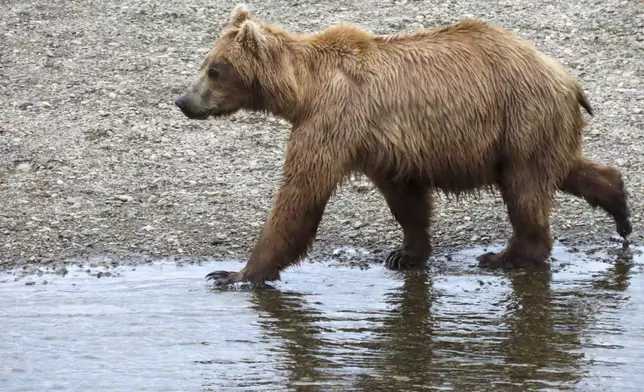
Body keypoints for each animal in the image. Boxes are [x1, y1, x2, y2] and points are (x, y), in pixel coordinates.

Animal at [176, 2, 632, 284]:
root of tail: (567, 77)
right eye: (204, 63)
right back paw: (620, 207)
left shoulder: (332, 119)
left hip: (521, 117)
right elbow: (405, 199)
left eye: (215, 69)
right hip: (535, 128)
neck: (303, 91)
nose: (183, 101)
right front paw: (405, 253)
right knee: (562, 169)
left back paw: (507, 256)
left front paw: (234, 274)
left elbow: (301, 194)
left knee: (525, 190)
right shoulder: (379, 144)